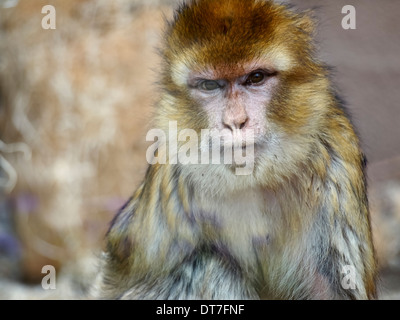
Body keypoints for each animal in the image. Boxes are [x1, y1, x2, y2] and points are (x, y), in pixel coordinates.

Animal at [93, 0, 376, 300]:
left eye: (256, 78)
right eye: (209, 85)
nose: (235, 121)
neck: (254, 181)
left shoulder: (336, 158)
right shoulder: (172, 171)